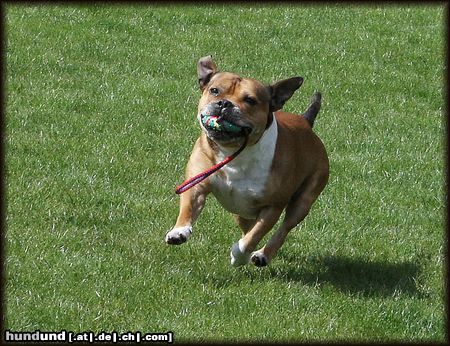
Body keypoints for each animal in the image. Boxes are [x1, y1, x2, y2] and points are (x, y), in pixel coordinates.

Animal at [164, 56, 326, 268]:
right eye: (214, 90)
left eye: (250, 100)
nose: (224, 104)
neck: (234, 152)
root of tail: (306, 122)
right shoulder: (196, 184)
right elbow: (188, 207)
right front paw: (179, 231)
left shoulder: (273, 206)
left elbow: (254, 236)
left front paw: (239, 255)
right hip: (241, 210)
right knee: (248, 226)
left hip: (304, 200)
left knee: (283, 228)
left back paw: (262, 255)